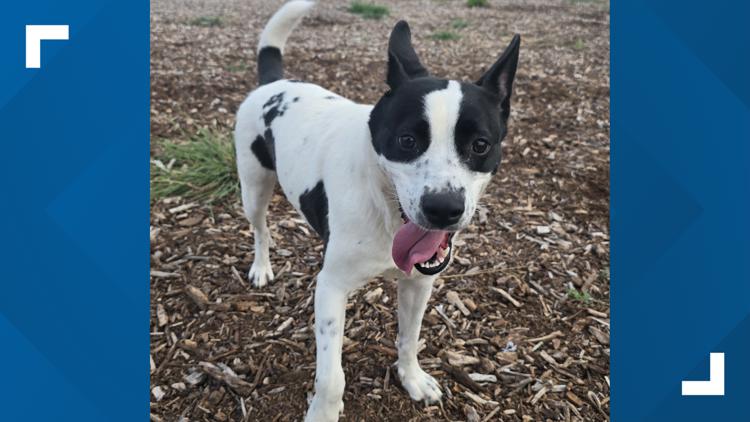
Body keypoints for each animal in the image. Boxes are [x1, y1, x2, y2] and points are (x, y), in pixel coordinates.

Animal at [234, 1, 519, 420]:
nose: (443, 208)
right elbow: (331, 377)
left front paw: (412, 377)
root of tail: (274, 84)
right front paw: (323, 412)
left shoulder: (418, 283)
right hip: (253, 187)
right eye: (407, 140)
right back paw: (261, 266)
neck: (384, 207)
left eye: (480, 145)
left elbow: (409, 337)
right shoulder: (331, 288)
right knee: (260, 228)